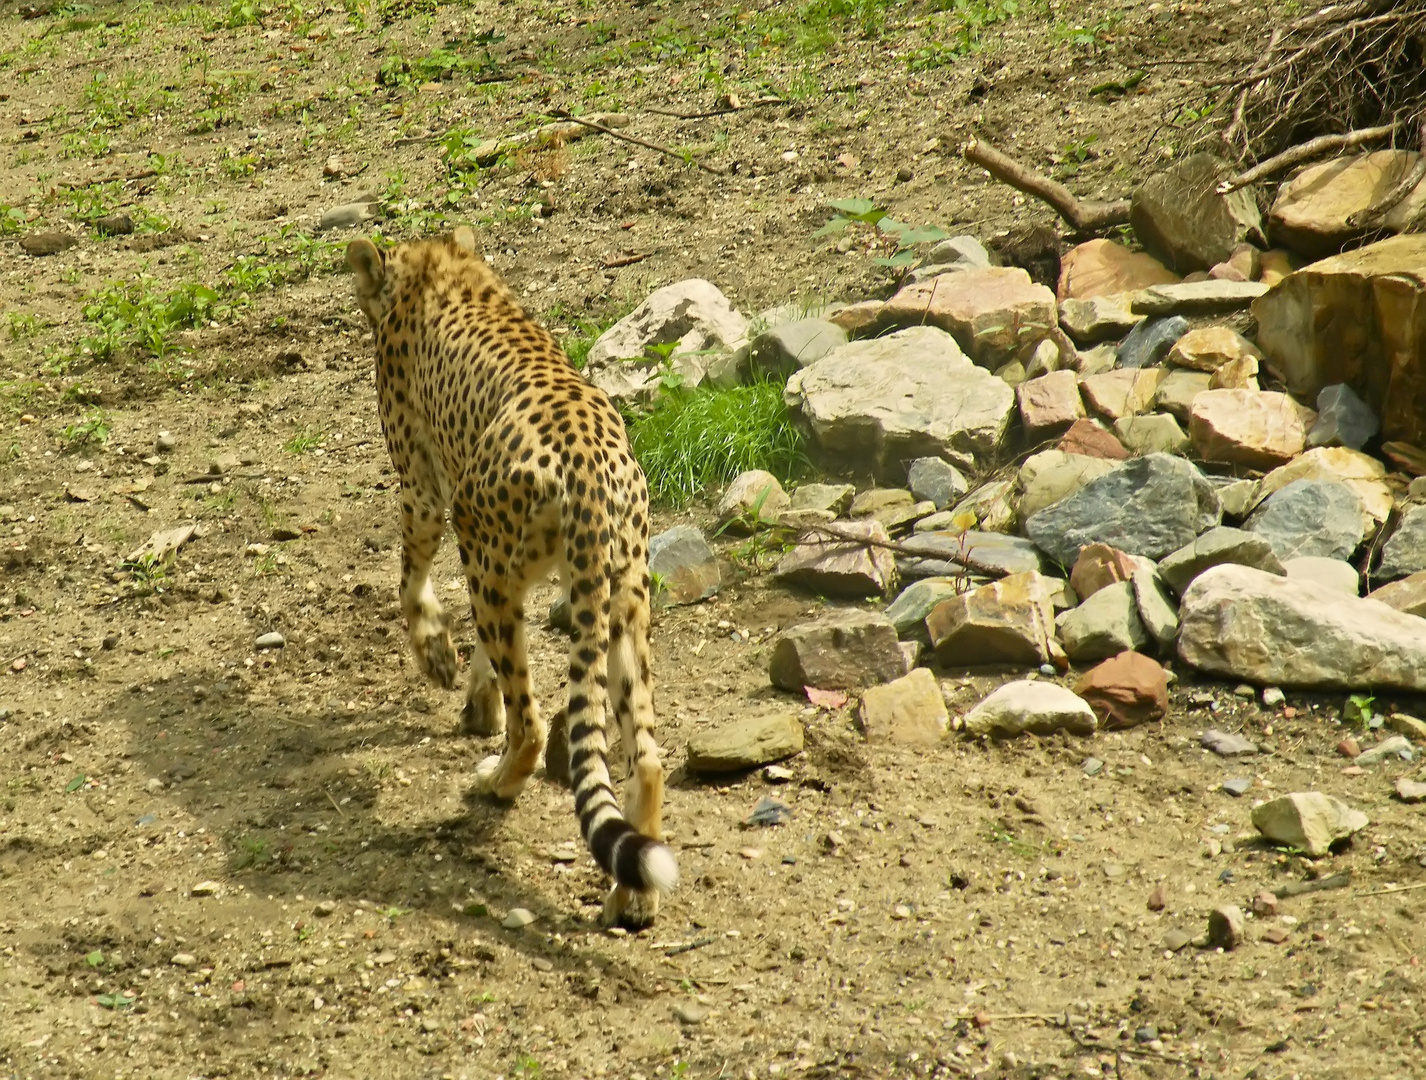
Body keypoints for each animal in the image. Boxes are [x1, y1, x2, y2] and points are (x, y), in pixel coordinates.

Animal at [347, 226, 675, 924]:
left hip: (486, 548)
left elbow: (410, 583)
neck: (442, 265)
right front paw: (476, 701)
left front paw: (435, 654)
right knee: (647, 755)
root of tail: (588, 460)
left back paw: (496, 783)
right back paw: (632, 895)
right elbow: (486, 652)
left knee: (533, 725)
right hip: (618, 595)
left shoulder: (425, 493)